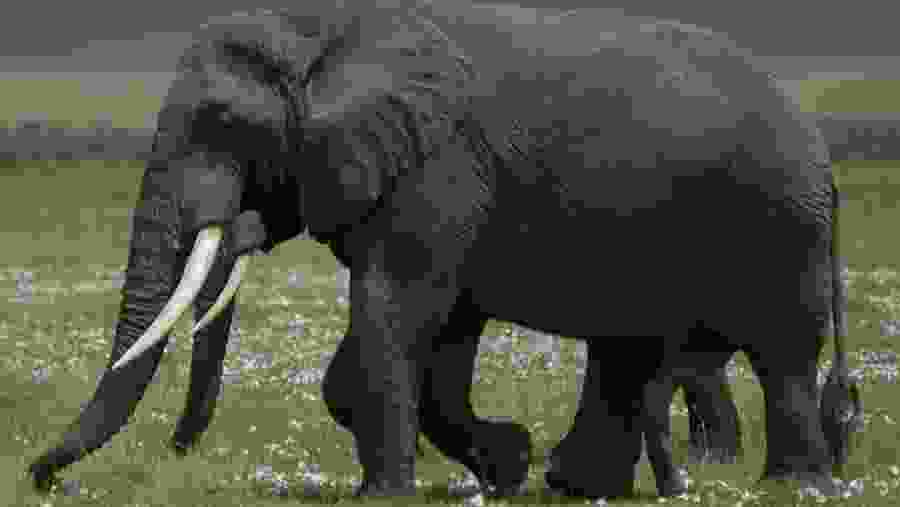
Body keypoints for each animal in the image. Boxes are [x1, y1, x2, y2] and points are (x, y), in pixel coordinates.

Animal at [28, 0, 860, 500]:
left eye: (222, 124)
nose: (38, 475)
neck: (324, 24)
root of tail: (820, 139)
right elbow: (436, 333)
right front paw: (506, 467)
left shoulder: (440, 167)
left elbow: (395, 312)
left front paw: (394, 494)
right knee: (628, 351)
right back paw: (576, 484)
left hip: (784, 220)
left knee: (783, 352)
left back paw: (794, 487)